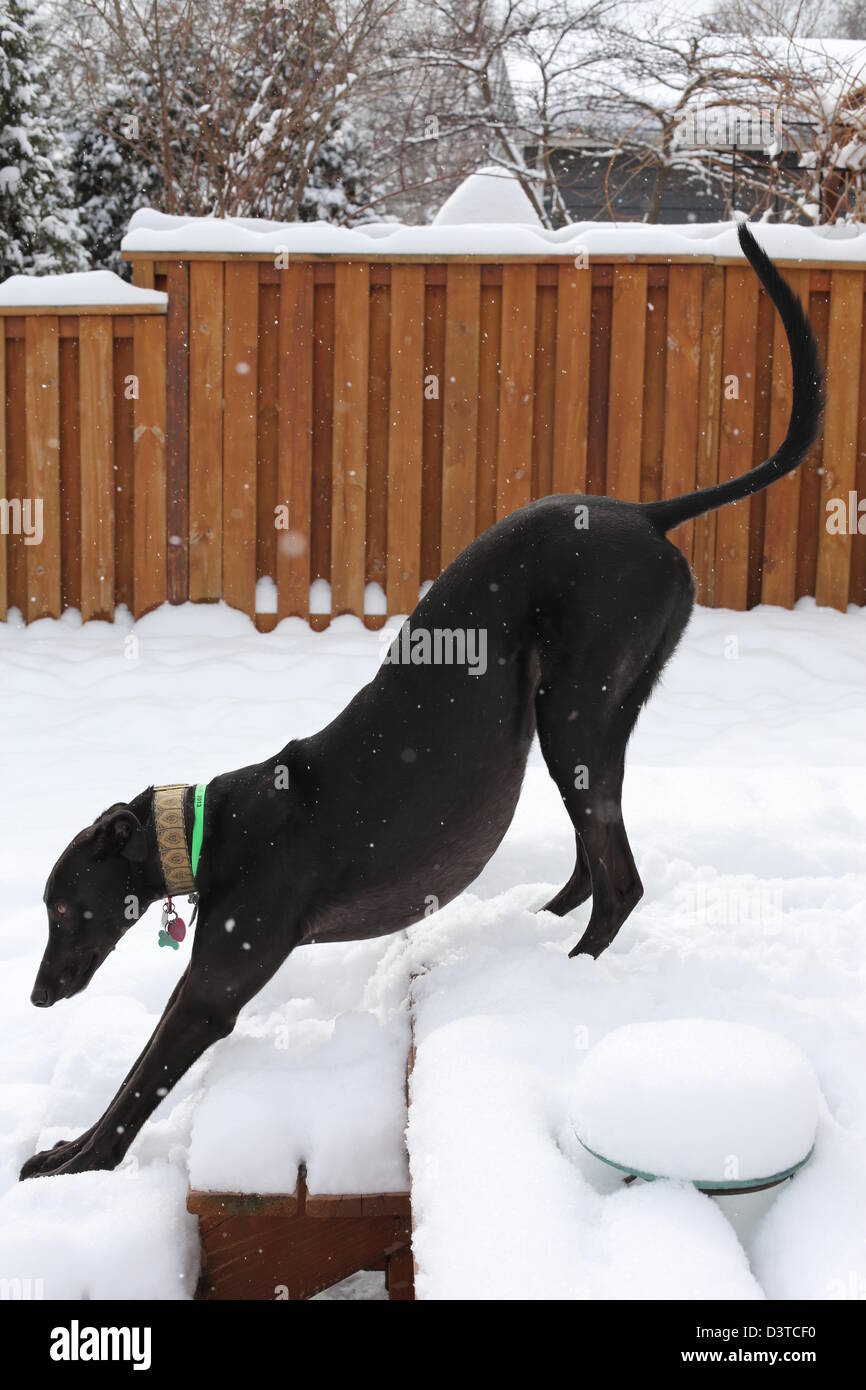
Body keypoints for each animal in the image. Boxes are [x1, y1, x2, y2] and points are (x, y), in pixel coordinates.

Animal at [20, 222, 817, 1178]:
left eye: (65, 910)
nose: (37, 995)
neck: (219, 829)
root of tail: (648, 515)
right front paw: (67, 1148)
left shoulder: (214, 987)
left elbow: (139, 1083)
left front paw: (71, 1165)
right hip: (595, 712)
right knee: (596, 855)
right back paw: (537, 926)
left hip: (575, 713)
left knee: (621, 879)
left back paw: (566, 968)